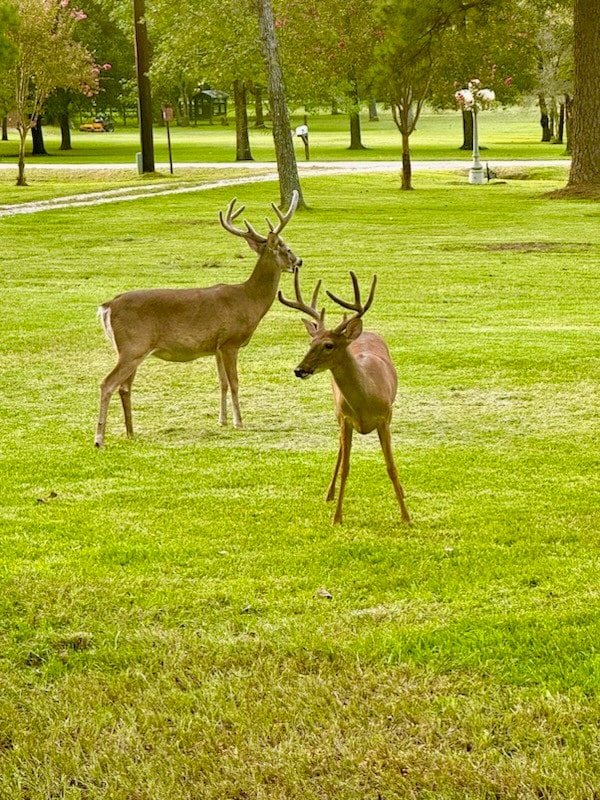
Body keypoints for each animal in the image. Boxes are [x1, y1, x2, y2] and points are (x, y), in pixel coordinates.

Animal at [96, 191, 302, 446]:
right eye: (285, 247)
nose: (299, 261)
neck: (249, 300)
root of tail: (107, 306)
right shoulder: (230, 342)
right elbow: (234, 383)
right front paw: (239, 422)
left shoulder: (217, 347)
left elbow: (222, 383)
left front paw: (222, 421)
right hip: (132, 346)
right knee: (107, 383)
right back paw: (99, 439)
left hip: (129, 350)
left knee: (124, 387)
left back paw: (131, 433)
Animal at [278, 268, 410, 524]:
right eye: (311, 341)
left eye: (329, 345)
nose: (299, 370)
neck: (367, 398)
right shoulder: (346, 419)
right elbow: (345, 467)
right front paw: (337, 517)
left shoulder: (385, 418)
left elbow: (391, 467)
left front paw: (406, 516)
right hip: (337, 412)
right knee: (339, 452)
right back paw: (329, 494)